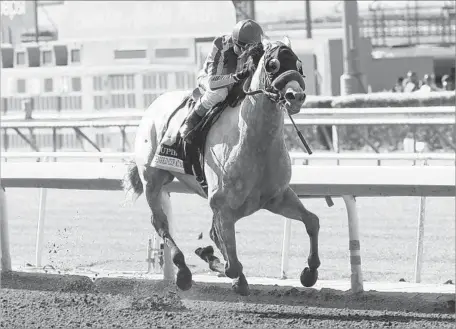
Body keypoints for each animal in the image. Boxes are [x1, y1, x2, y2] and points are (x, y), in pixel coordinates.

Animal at [123, 37, 318, 294]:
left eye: (298, 64)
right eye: (272, 65)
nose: (296, 95)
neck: (253, 145)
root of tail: (154, 104)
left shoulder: (277, 197)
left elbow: (312, 221)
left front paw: (309, 272)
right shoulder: (223, 207)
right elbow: (231, 264)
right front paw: (227, 271)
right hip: (152, 180)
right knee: (161, 223)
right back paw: (183, 271)